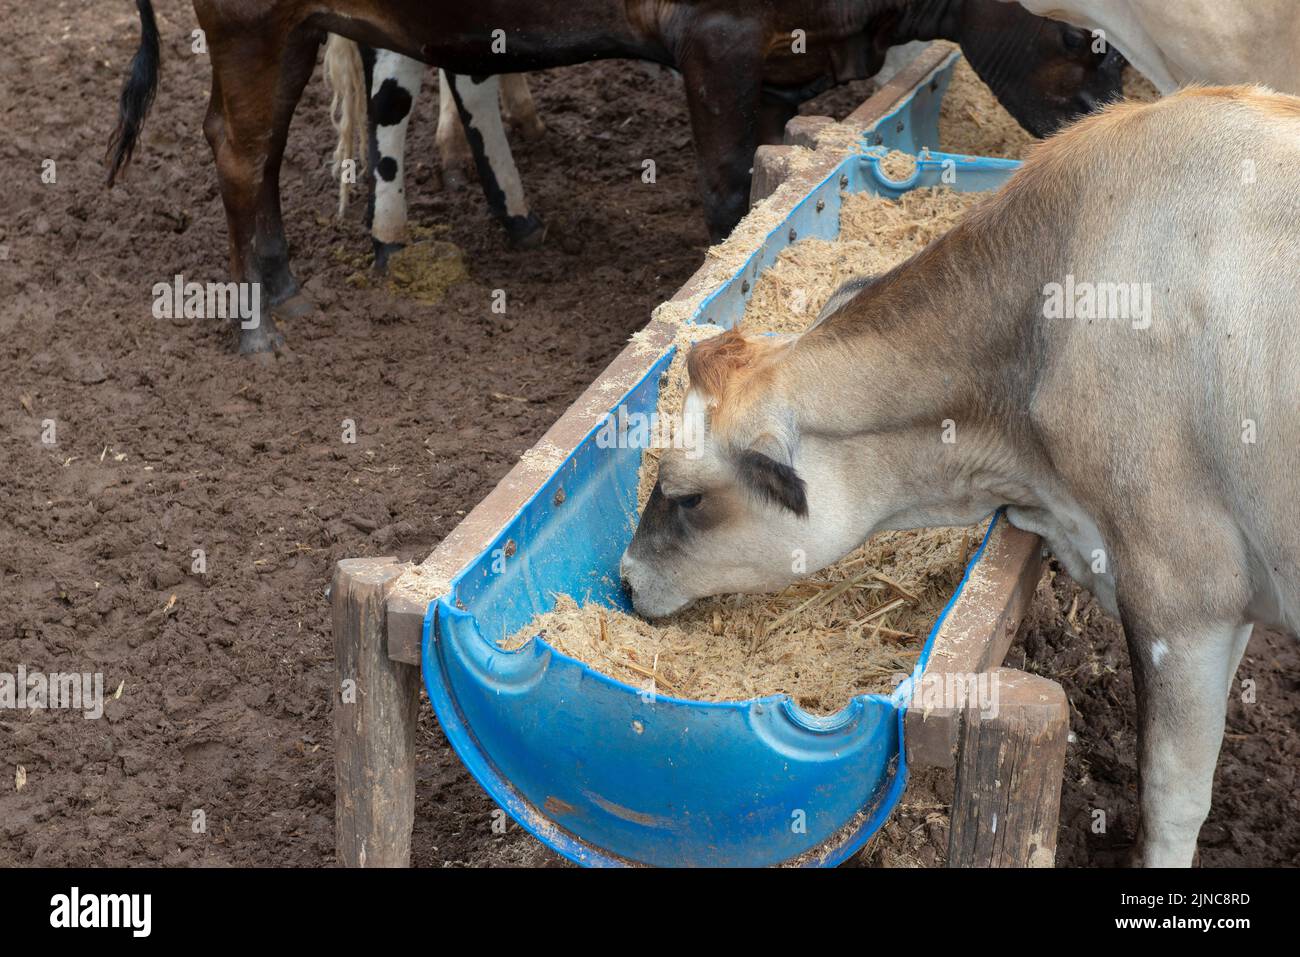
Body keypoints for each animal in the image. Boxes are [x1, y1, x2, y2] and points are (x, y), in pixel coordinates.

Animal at [107, 0, 1123, 355]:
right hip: (251, 23)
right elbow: (726, 193)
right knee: (241, 145)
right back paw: (259, 318)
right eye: (1099, 61)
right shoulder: (714, 45)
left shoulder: (774, 63)